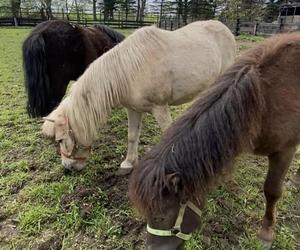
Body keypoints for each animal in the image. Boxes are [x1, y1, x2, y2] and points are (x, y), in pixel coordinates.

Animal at [40, 20, 237, 173]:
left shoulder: (160, 108)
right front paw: (128, 163)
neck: (130, 71)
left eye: (60, 140)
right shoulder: (133, 109)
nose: (67, 168)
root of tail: (225, 29)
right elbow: (132, 135)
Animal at [129, 32, 300, 249]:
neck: (263, 100)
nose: (151, 248)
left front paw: (266, 233)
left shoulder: (285, 152)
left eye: (160, 217)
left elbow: (272, 191)